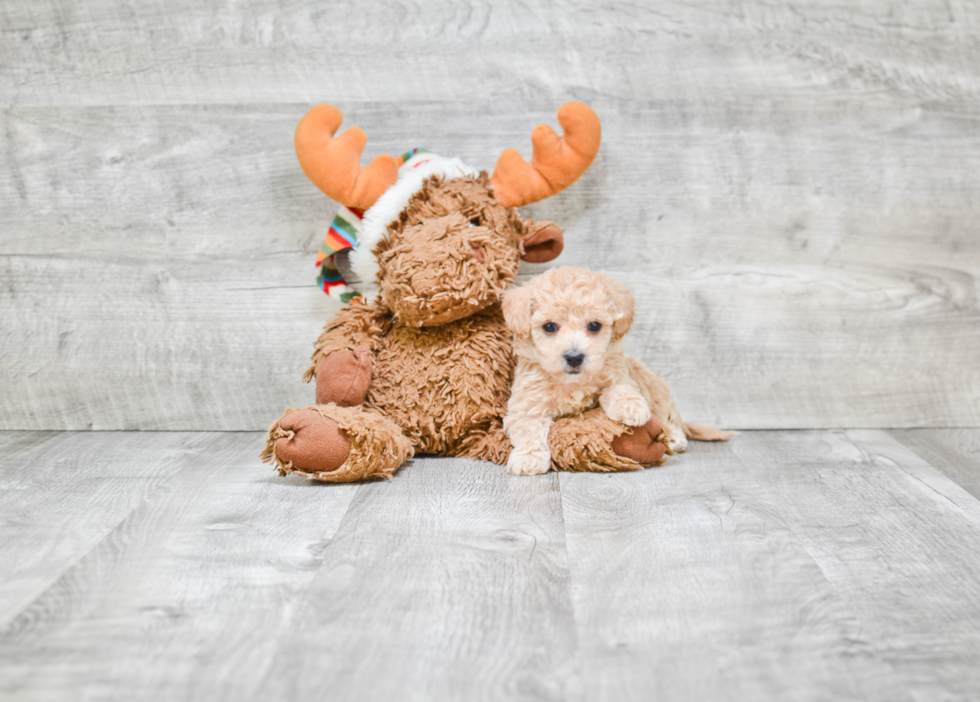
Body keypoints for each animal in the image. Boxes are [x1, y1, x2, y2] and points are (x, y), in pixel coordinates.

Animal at [502, 266, 724, 476]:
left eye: (594, 325)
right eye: (549, 327)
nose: (574, 357)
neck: (572, 383)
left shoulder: (620, 372)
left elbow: (618, 386)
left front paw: (630, 406)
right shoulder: (527, 404)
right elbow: (529, 429)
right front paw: (528, 458)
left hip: (657, 389)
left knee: (668, 418)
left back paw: (675, 438)